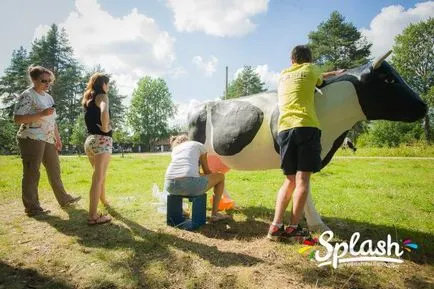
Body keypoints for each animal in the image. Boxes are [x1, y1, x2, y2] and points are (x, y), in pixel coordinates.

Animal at [187, 51, 428, 231]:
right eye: (389, 79)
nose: (424, 106)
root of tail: (196, 108)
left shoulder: (315, 154)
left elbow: (304, 187)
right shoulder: (301, 154)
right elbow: (304, 189)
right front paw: (318, 225)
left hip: (220, 157)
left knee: (218, 175)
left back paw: (226, 204)